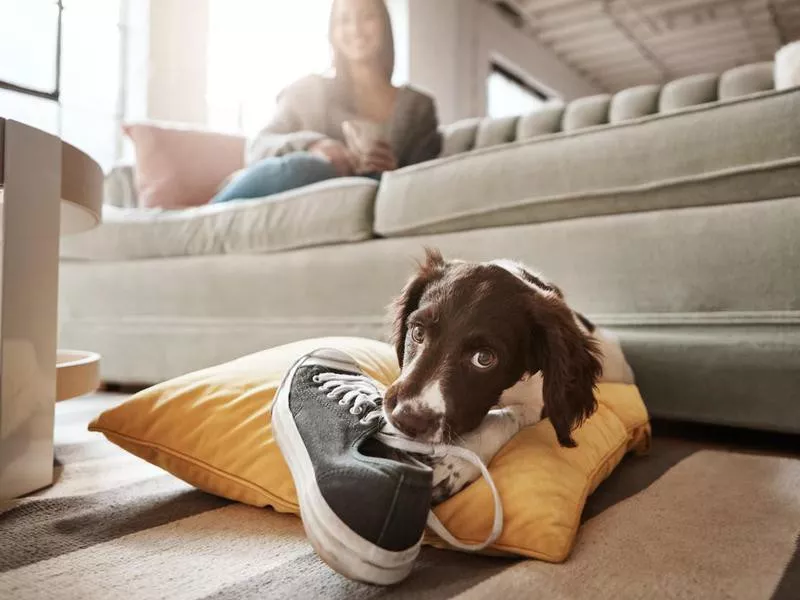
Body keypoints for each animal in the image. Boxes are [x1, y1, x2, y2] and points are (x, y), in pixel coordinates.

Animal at [384, 248, 636, 502]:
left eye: (484, 358)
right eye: (417, 332)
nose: (406, 419)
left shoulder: (542, 403)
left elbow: (506, 416)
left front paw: (456, 462)